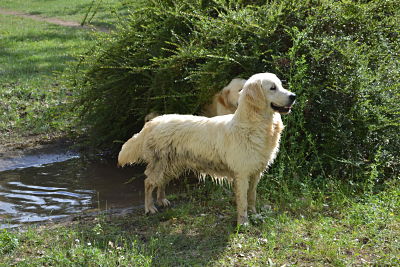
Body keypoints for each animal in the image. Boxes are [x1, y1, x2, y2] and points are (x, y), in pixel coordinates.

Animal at [117, 73, 296, 226]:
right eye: (272, 88)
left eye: (281, 85)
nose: (293, 96)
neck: (254, 124)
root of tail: (153, 122)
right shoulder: (242, 174)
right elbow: (243, 202)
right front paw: (243, 223)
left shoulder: (255, 172)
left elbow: (252, 197)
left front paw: (255, 215)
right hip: (161, 163)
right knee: (148, 182)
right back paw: (150, 207)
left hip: (171, 164)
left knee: (160, 182)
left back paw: (162, 200)